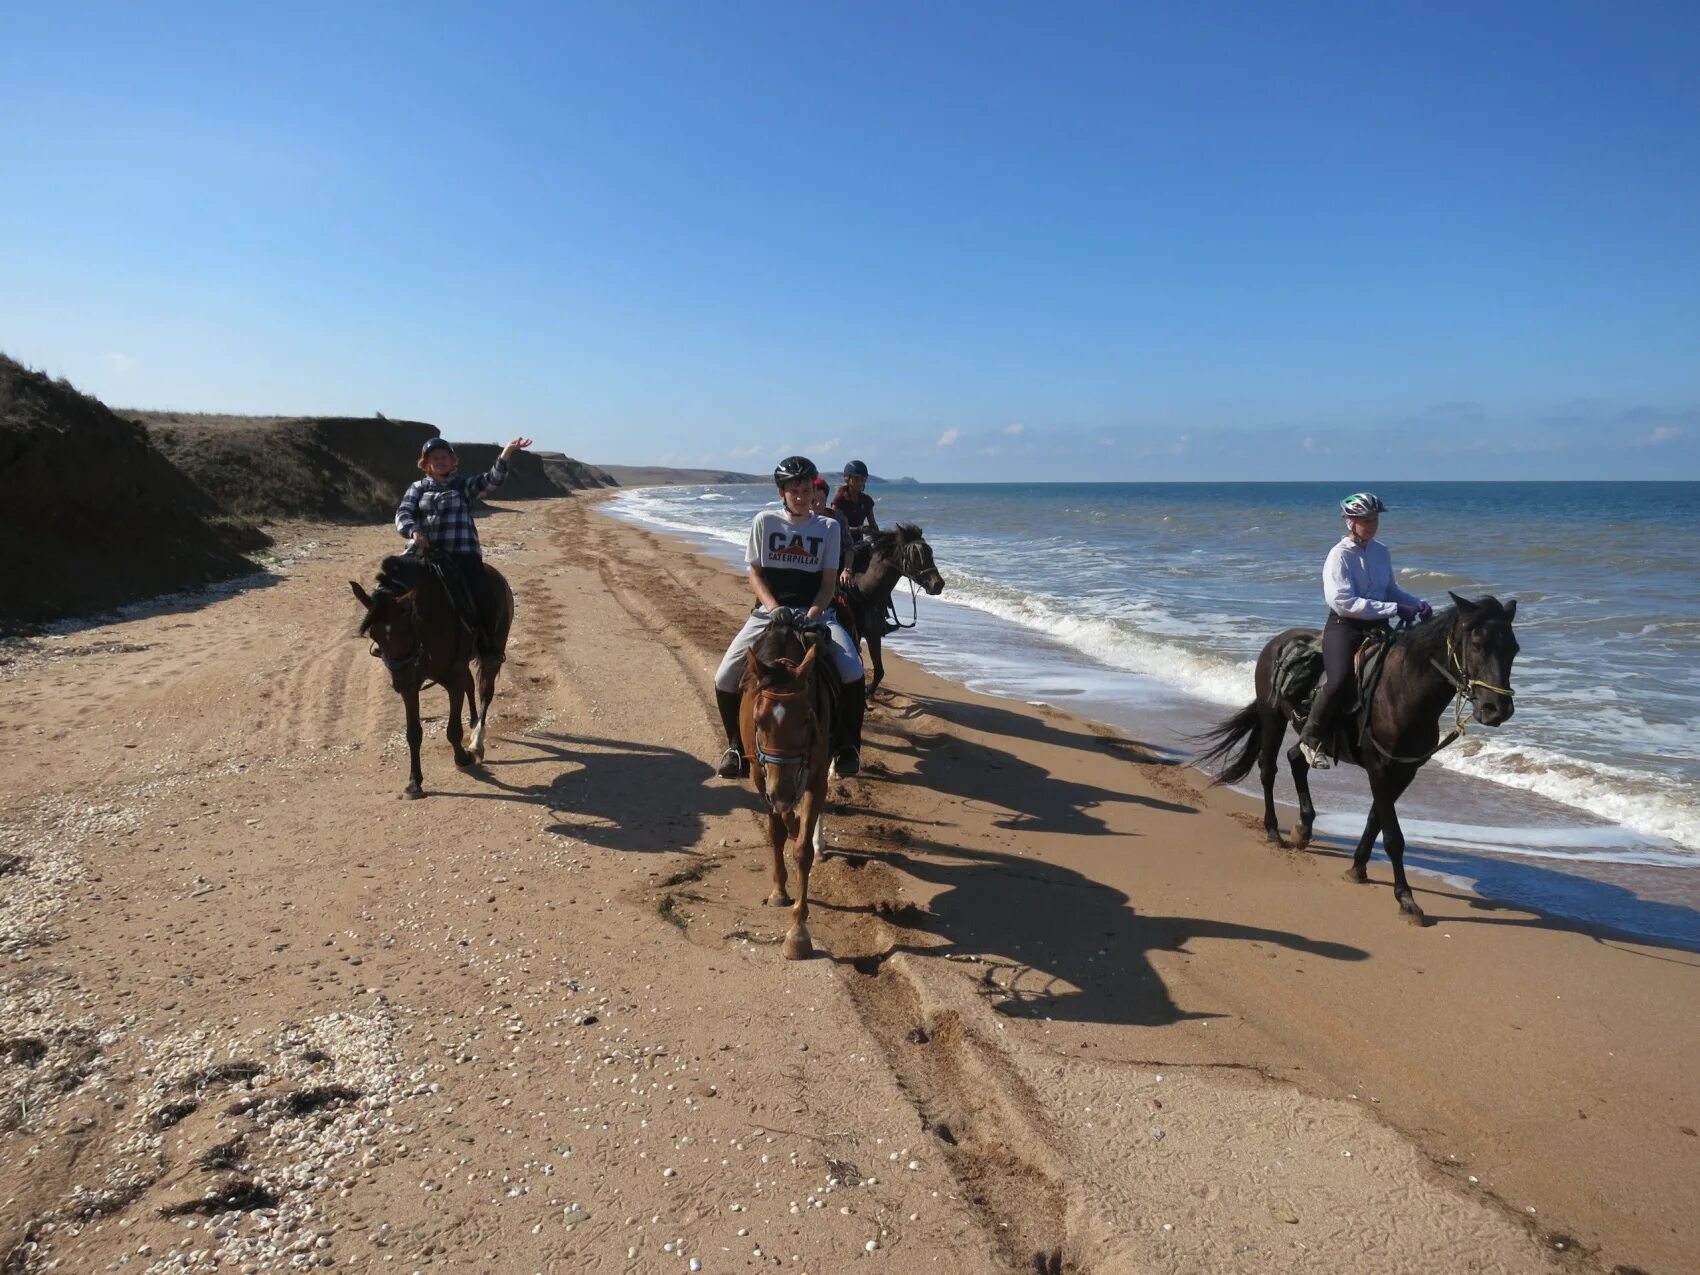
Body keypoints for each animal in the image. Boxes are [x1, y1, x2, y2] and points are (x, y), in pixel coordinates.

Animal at [348, 557, 513, 799]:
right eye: (374, 634)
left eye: (407, 629)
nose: (399, 681)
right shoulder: (412, 687)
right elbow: (414, 734)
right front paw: (414, 783)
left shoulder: (452, 679)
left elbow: (453, 730)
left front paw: (463, 758)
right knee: (470, 684)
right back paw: (473, 722)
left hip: (492, 653)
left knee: (484, 691)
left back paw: (476, 742)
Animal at [737, 615, 836, 958]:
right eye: (758, 721)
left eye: (807, 719)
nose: (781, 793)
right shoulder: (760, 777)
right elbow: (777, 831)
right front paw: (779, 890)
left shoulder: (816, 777)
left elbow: (802, 849)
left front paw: (798, 932)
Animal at [843, 523, 952, 693]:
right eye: (915, 555)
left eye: (930, 552)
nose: (938, 584)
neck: (864, 590)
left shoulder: (872, 634)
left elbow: (879, 672)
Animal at [1196, 595, 1530, 924]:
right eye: (1477, 643)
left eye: (1514, 648)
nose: (1497, 709)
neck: (1402, 689)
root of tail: (1276, 643)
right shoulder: (1378, 768)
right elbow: (1393, 836)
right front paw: (1406, 900)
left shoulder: (1404, 770)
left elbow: (1375, 819)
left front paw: (1357, 868)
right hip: (1272, 718)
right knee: (1268, 769)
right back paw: (1273, 832)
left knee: (1296, 760)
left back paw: (1303, 828)